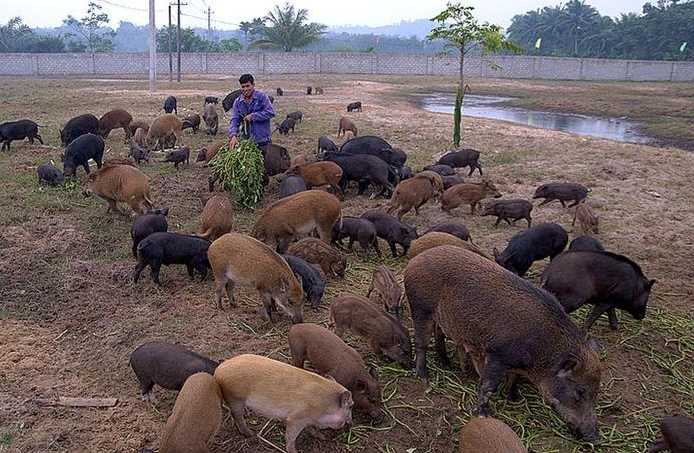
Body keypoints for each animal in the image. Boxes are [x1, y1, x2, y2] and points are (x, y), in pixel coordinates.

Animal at [215, 354, 356, 452]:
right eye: (350, 406)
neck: (325, 406)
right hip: (235, 398)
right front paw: (294, 451)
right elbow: (290, 436)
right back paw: (250, 433)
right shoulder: (296, 418)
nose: (351, 422)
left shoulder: (308, 420)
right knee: (237, 416)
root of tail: (219, 370)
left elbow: (311, 428)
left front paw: (321, 437)